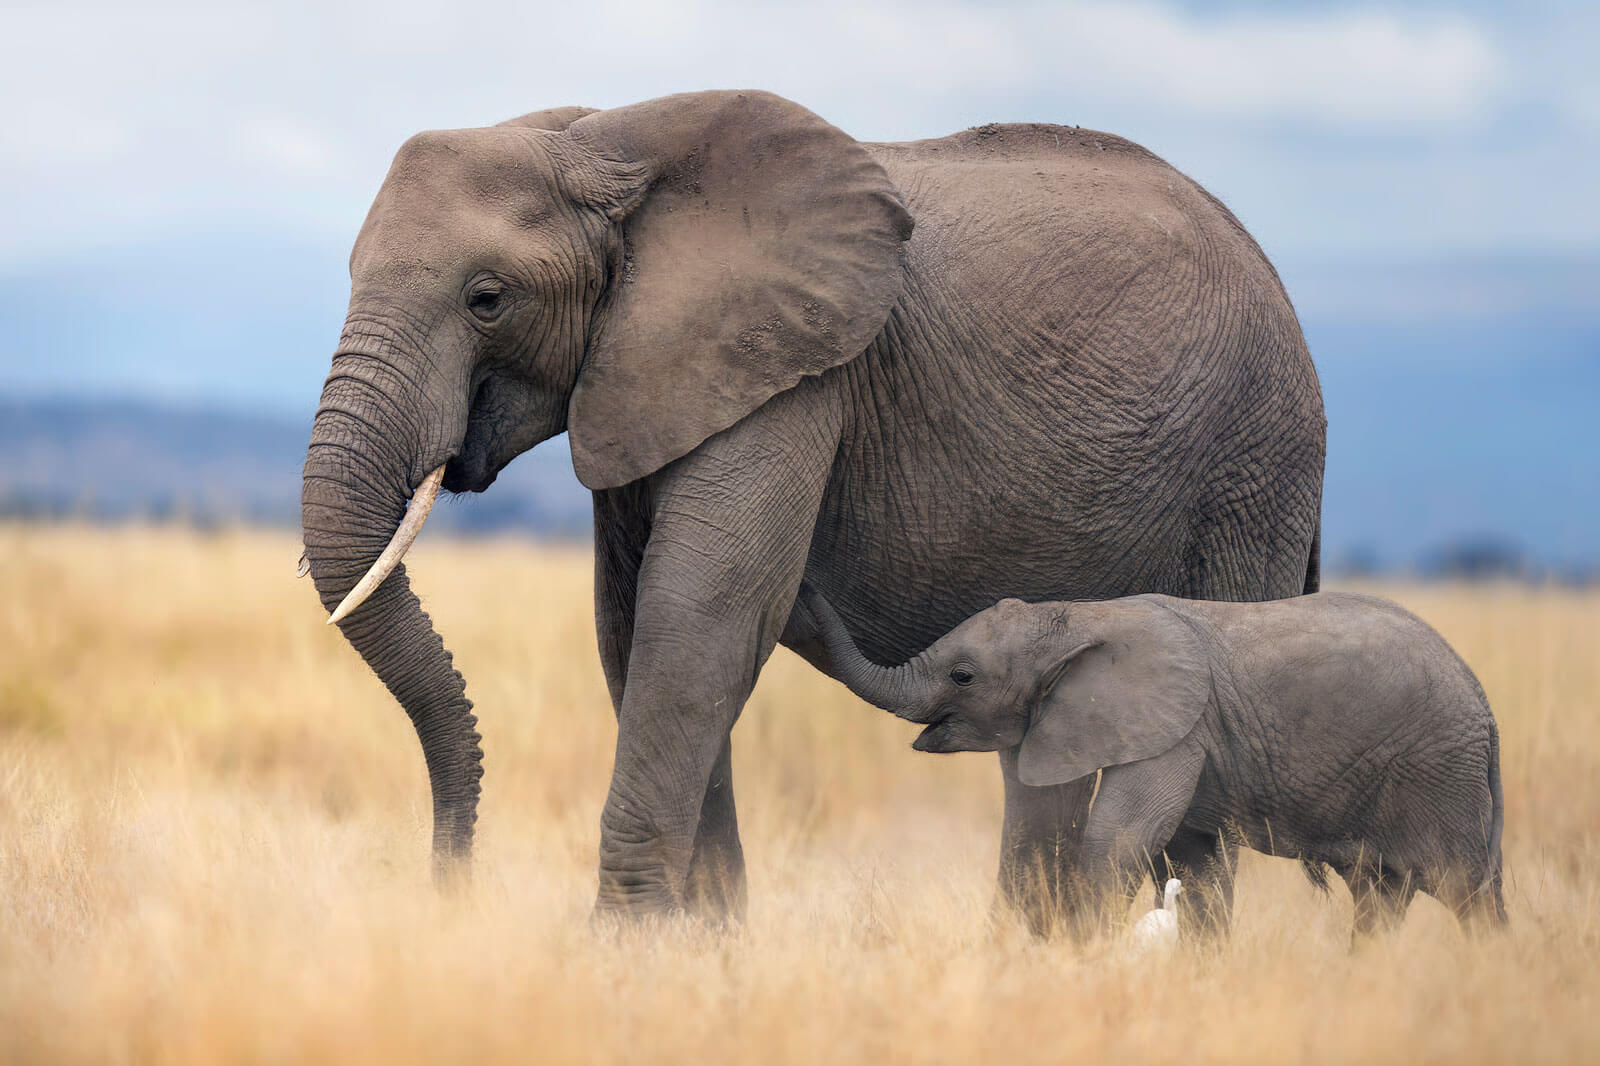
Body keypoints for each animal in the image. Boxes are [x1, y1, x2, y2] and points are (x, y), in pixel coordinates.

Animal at [299, 89, 1326, 928]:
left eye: (487, 298)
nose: (451, 890)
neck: (607, 140)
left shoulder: (797, 373)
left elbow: (702, 615)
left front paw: (624, 955)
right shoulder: (651, 370)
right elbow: (634, 628)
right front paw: (701, 952)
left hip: (1254, 466)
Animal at [795, 586, 1507, 938]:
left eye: (963, 676)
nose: (804, 591)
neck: (1075, 617)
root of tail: (1486, 710)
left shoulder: (1176, 729)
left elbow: (1117, 836)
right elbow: (1191, 860)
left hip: (1438, 771)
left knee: (1464, 890)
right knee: (1383, 897)